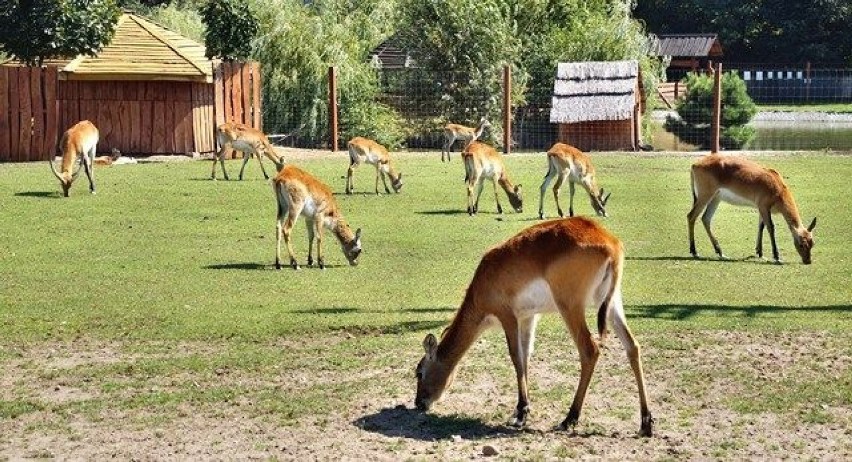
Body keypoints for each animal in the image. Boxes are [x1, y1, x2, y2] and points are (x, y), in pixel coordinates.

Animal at [416, 217, 656, 436]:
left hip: (570, 307)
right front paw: (521, 410)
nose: (419, 403)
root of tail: (610, 242)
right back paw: (646, 422)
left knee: (590, 350)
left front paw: (521, 413)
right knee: (633, 346)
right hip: (611, 304)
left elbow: (515, 357)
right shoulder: (528, 317)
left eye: (419, 372)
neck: (482, 284)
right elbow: (526, 356)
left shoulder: (508, 316)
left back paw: (569, 419)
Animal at [684, 154, 820, 264]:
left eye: (812, 243)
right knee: (691, 216)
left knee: (705, 219)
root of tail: (695, 164)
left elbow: (761, 226)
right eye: (801, 244)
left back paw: (720, 252)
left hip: (716, 198)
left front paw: (760, 253)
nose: (808, 261)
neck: (778, 186)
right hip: (705, 196)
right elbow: (771, 228)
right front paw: (776, 257)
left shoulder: (761, 208)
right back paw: (694, 252)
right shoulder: (764, 207)